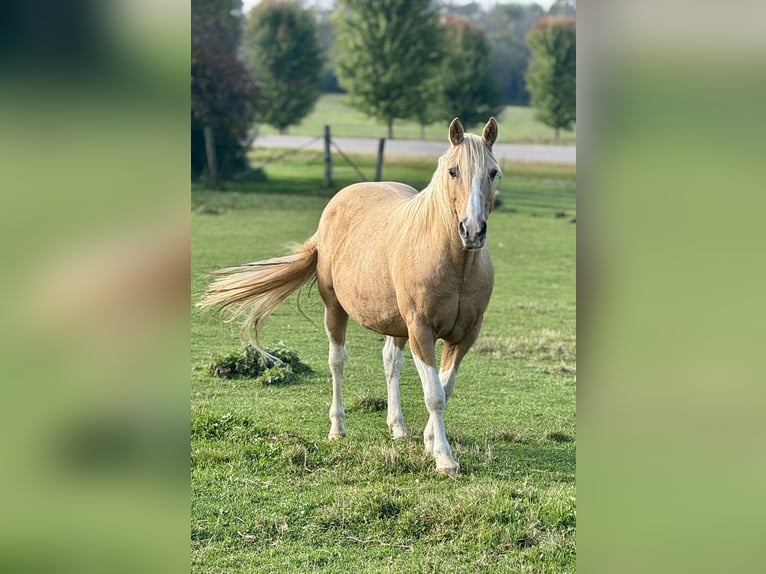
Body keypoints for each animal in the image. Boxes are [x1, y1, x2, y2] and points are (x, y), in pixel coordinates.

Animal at [199, 118, 500, 475]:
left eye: (493, 172)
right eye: (453, 171)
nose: (472, 230)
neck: (455, 263)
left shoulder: (465, 334)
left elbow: (445, 387)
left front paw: (429, 440)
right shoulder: (421, 330)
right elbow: (434, 394)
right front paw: (443, 457)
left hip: (396, 324)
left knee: (391, 362)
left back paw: (397, 427)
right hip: (336, 310)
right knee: (337, 362)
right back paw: (337, 428)